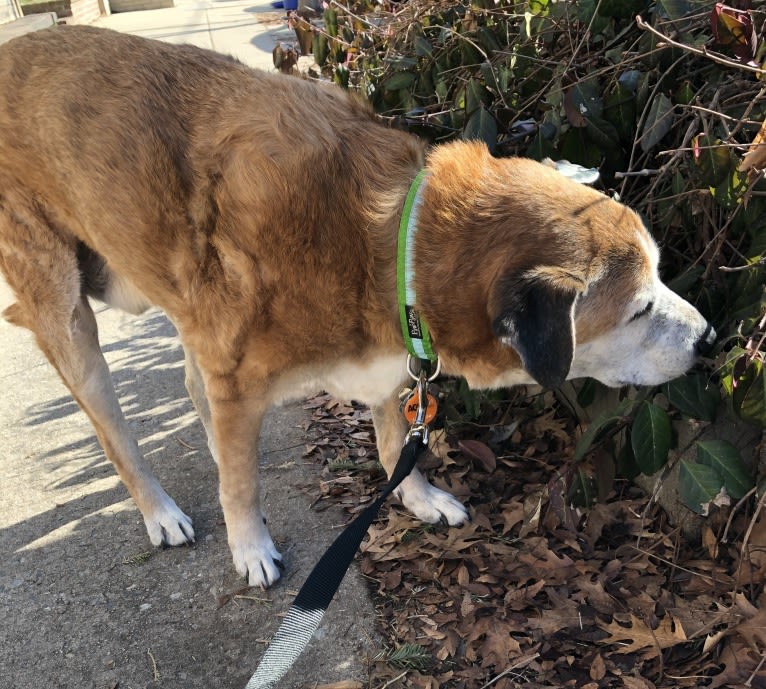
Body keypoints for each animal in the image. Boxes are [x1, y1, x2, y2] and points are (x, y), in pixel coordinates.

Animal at [1, 25, 720, 584]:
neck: (393, 238)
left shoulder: (390, 364)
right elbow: (244, 484)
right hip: (67, 315)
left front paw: (419, 499)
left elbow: (395, 440)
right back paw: (163, 512)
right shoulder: (240, 376)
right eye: (638, 309)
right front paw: (250, 544)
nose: (711, 339)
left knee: (192, 385)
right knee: (117, 433)